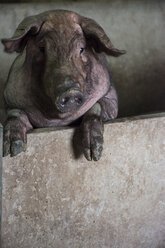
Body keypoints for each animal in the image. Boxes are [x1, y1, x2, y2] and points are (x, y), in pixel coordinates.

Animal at [1, 9, 125, 161]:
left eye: (81, 49)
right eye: (42, 48)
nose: (70, 91)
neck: (57, 120)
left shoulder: (110, 95)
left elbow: (97, 108)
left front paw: (93, 155)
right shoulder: (9, 98)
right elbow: (15, 114)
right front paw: (12, 151)